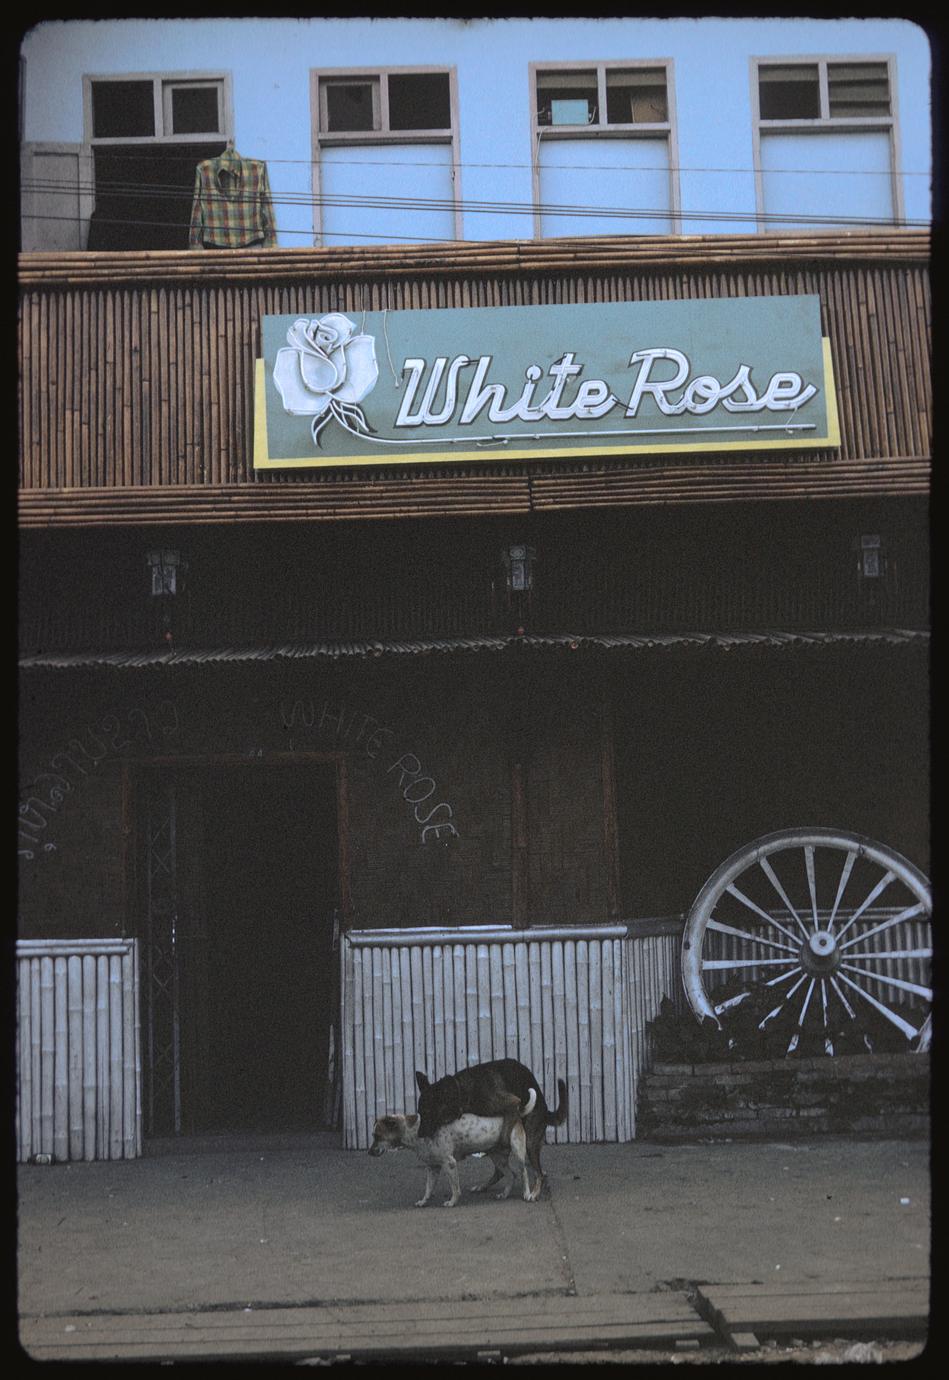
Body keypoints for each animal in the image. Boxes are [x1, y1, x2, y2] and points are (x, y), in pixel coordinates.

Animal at [369, 1088, 537, 1207]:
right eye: (373, 1135)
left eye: (377, 1136)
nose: (369, 1152)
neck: (415, 1130)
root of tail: (516, 1111)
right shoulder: (433, 1168)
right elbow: (428, 1189)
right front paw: (423, 1201)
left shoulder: (449, 1163)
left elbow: (455, 1188)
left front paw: (452, 1202)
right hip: (497, 1157)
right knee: (510, 1175)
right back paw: (504, 1194)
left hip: (517, 1151)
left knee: (523, 1173)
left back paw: (527, 1194)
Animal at [415, 1058, 567, 1202]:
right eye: (420, 1113)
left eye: (427, 1113)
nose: (419, 1134)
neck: (461, 1090)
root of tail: (546, 1110)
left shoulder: (512, 1102)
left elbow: (507, 1126)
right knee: (501, 1172)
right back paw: (483, 1186)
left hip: (530, 1143)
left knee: (539, 1173)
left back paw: (534, 1192)